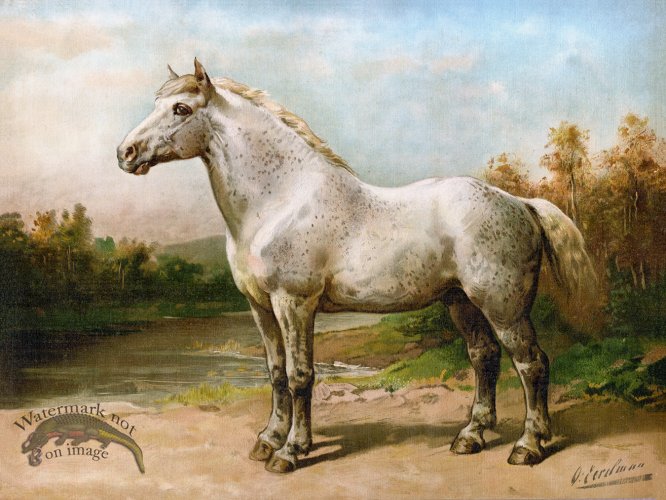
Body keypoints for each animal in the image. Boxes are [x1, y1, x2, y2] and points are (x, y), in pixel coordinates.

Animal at [117, 59, 595, 473]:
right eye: (157, 104)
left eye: (181, 108)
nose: (126, 152)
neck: (280, 200)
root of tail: (521, 203)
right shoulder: (259, 306)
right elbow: (274, 373)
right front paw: (268, 439)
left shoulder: (295, 303)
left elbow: (299, 376)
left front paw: (291, 451)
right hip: (461, 302)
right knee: (485, 358)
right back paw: (471, 436)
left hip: (504, 307)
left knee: (532, 364)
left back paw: (529, 446)